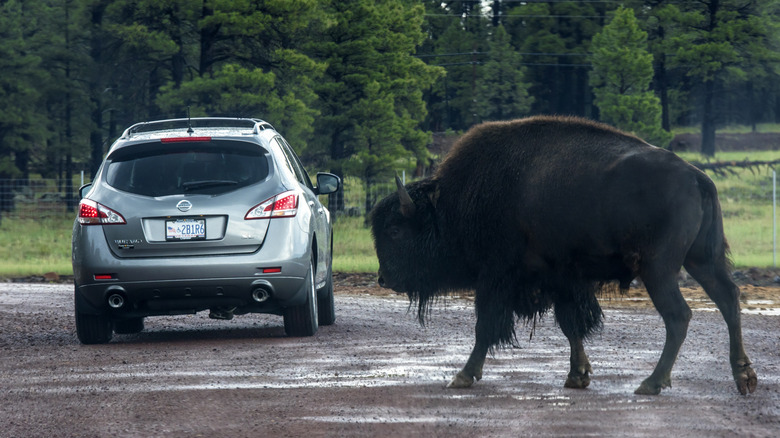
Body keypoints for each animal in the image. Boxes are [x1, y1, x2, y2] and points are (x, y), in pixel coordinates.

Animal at [370, 114, 756, 396]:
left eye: (394, 231)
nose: (384, 279)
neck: (449, 205)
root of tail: (696, 177)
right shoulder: (562, 279)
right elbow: (571, 325)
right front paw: (577, 376)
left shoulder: (496, 277)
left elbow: (486, 327)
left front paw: (463, 376)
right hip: (701, 260)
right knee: (728, 299)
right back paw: (744, 377)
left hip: (658, 269)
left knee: (679, 315)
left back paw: (651, 384)